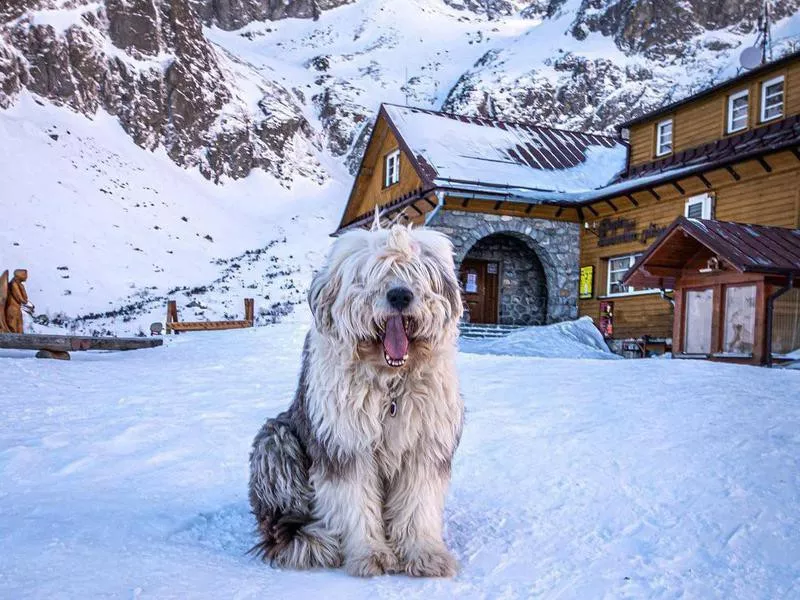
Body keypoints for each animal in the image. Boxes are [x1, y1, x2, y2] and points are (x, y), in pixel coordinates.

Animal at [248, 224, 462, 576]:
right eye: (373, 274)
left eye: (414, 270)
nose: (400, 295)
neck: (389, 387)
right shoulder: (345, 444)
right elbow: (354, 502)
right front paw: (370, 554)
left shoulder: (423, 446)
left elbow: (418, 503)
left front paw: (424, 554)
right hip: (277, 441)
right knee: (282, 518)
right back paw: (304, 539)